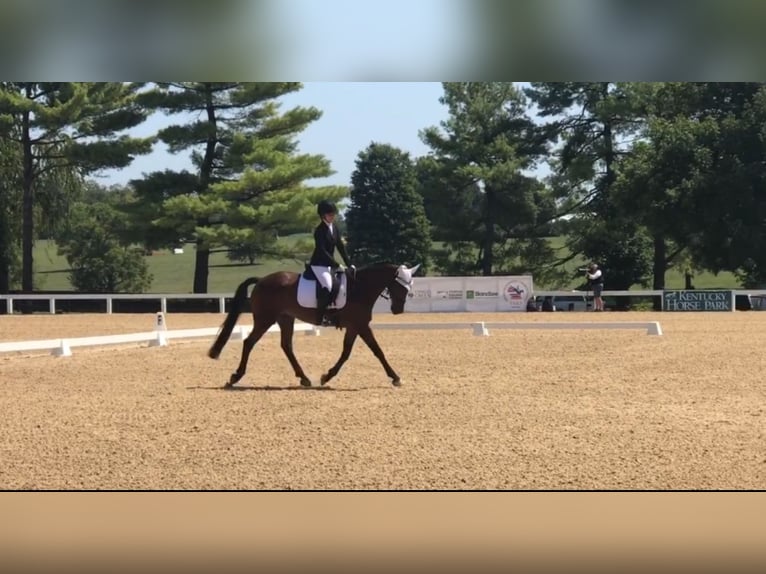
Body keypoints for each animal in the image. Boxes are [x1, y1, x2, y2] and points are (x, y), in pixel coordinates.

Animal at [207, 264, 420, 390]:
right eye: (401, 286)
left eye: (410, 286)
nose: (398, 310)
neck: (359, 288)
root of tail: (261, 280)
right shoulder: (361, 325)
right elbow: (377, 351)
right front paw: (395, 377)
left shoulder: (354, 326)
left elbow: (346, 353)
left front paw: (327, 376)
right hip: (265, 319)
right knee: (249, 342)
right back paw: (235, 377)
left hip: (285, 319)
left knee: (286, 346)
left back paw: (304, 378)